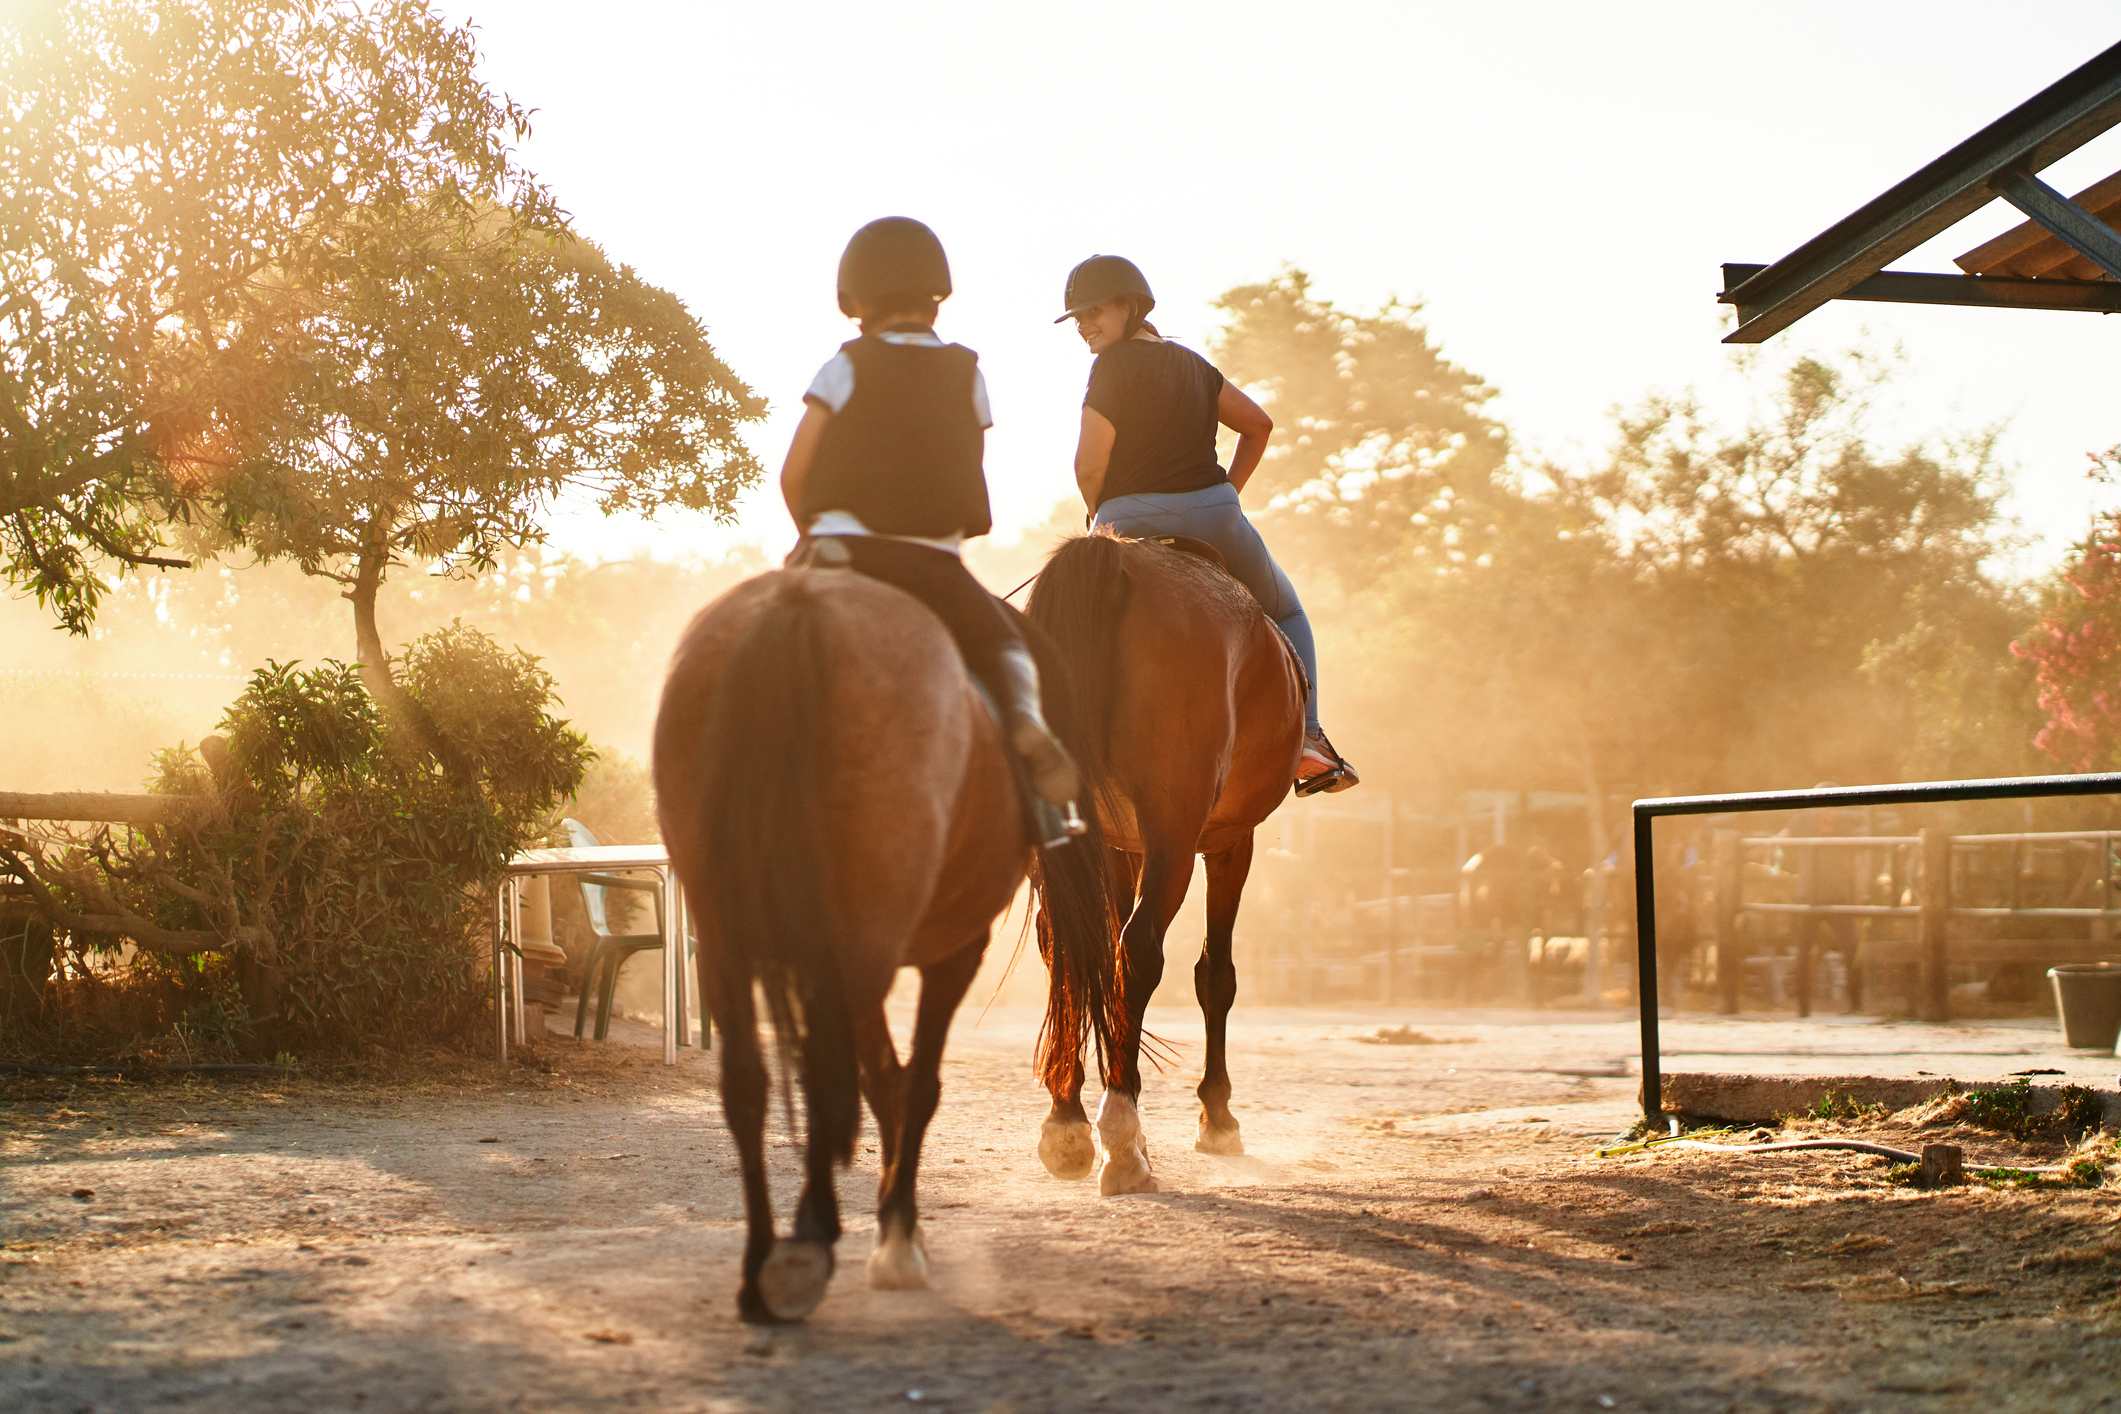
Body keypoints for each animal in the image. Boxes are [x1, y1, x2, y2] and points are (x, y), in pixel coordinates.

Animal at [653, 568, 1128, 1322]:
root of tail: (800, 605)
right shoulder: (946, 950)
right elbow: (915, 1084)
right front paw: (899, 1236)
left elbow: (884, 1080)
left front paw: (894, 1225)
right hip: (855, 945)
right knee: (829, 1076)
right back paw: (809, 1246)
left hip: (731, 940)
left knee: (750, 1083)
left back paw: (761, 1269)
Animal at [1018, 536, 1298, 1204]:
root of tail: (1115, 557)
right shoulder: (1229, 839)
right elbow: (1215, 976)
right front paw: (1217, 1117)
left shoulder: (1123, 846)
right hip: (1175, 830)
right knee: (1139, 950)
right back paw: (1121, 1140)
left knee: (1068, 951)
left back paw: (1068, 1122)